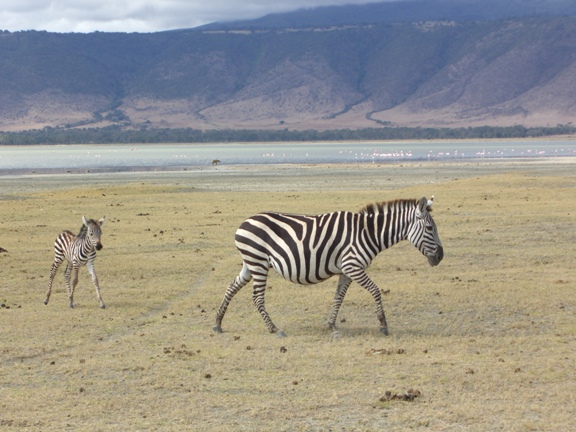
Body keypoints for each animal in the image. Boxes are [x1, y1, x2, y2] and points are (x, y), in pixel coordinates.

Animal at [214, 197, 444, 338]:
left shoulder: (346, 271)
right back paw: (274, 329)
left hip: (250, 263)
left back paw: (218, 323)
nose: (441, 256)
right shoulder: (353, 266)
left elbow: (338, 297)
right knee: (257, 297)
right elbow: (376, 291)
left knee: (231, 287)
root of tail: (244, 223)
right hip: (259, 263)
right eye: (430, 228)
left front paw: (332, 325)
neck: (368, 233)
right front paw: (383, 324)